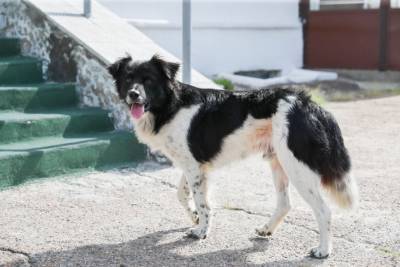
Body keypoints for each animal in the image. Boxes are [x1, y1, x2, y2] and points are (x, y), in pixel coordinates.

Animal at [108, 55, 358, 260]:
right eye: (128, 79)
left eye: (149, 80)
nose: (133, 94)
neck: (170, 106)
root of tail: (310, 105)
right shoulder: (192, 164)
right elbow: (181, 194)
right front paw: (195, 218)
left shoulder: (194, 167)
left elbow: (202, 202)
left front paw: (202, 231)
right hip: (278, 162)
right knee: (285, 203)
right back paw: (267, 229)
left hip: (297, 167)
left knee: (323, 210)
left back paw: (323, 250)